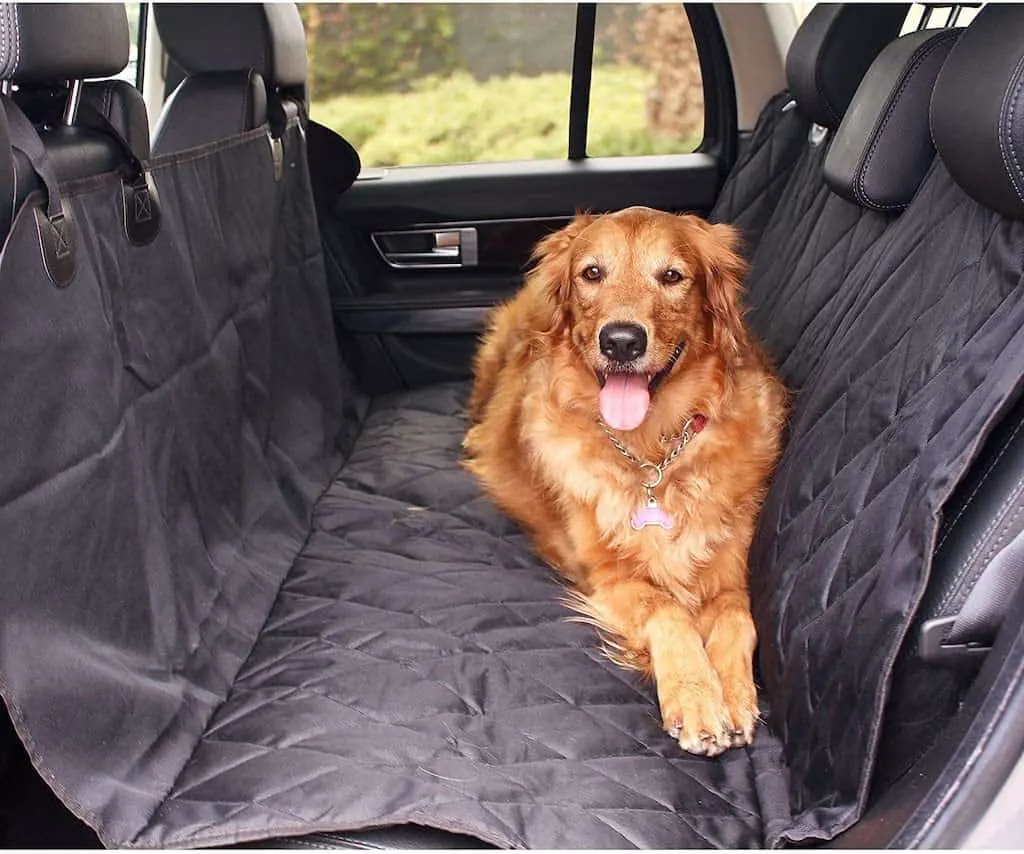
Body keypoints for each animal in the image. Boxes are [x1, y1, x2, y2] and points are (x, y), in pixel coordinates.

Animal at [468, 207, 786, 753]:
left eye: (672, 276)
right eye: (592, 273)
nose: (621, 341)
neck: (653, 451)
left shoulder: (729, 568)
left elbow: (735, 614)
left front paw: (733, 690)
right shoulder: (607, 576)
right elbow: (667, 608)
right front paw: (696, 694)